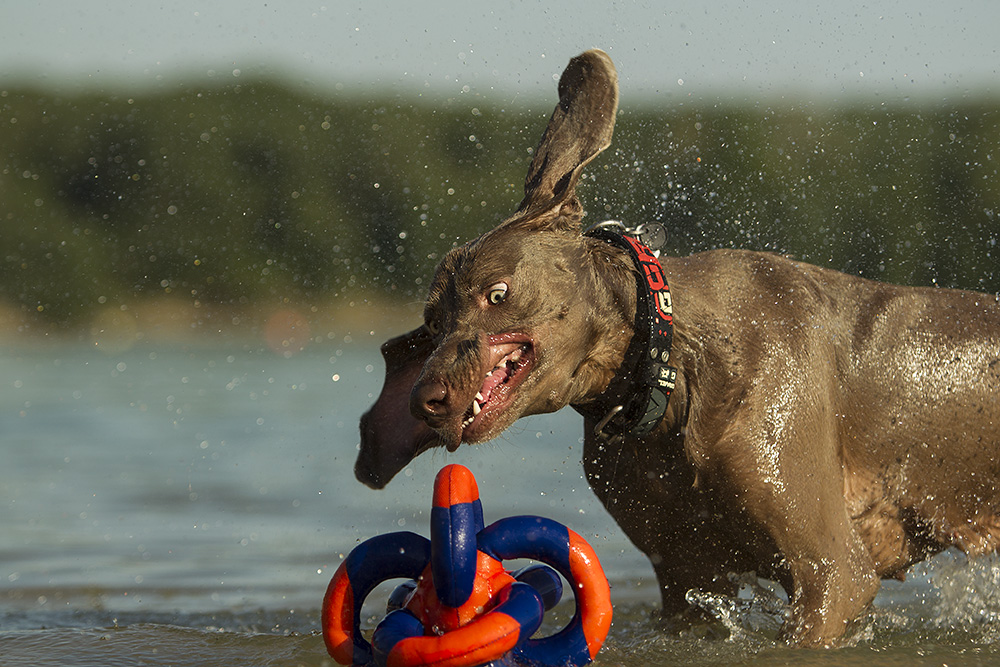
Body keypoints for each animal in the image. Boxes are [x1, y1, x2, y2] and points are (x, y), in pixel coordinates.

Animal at [352, 48, 1000, 648]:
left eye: (497, 294)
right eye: (433, 320)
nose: (425, 401)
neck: (666, 374)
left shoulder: (832, 573)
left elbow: (832, 584)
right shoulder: (685, 575)